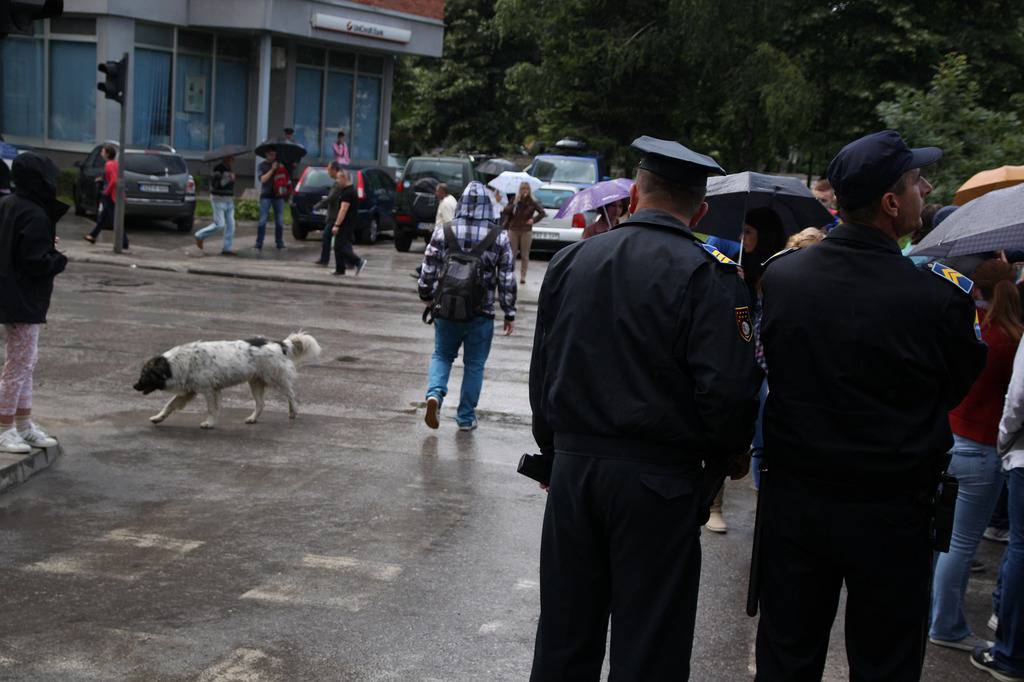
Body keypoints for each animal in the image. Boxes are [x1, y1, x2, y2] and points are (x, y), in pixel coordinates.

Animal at [133, 331, 319, 428]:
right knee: (261, 404)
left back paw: (293, 412)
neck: (173, 364)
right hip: (255, 382)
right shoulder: (188, 392)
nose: (134, 386)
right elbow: (169, 405)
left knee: (291, 395)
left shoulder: (209, 390)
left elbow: (211, 408)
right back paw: (253, 418)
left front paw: (209, 423)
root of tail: (278, 343)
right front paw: (158, 418)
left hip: (275, 378)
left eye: (145, 375)